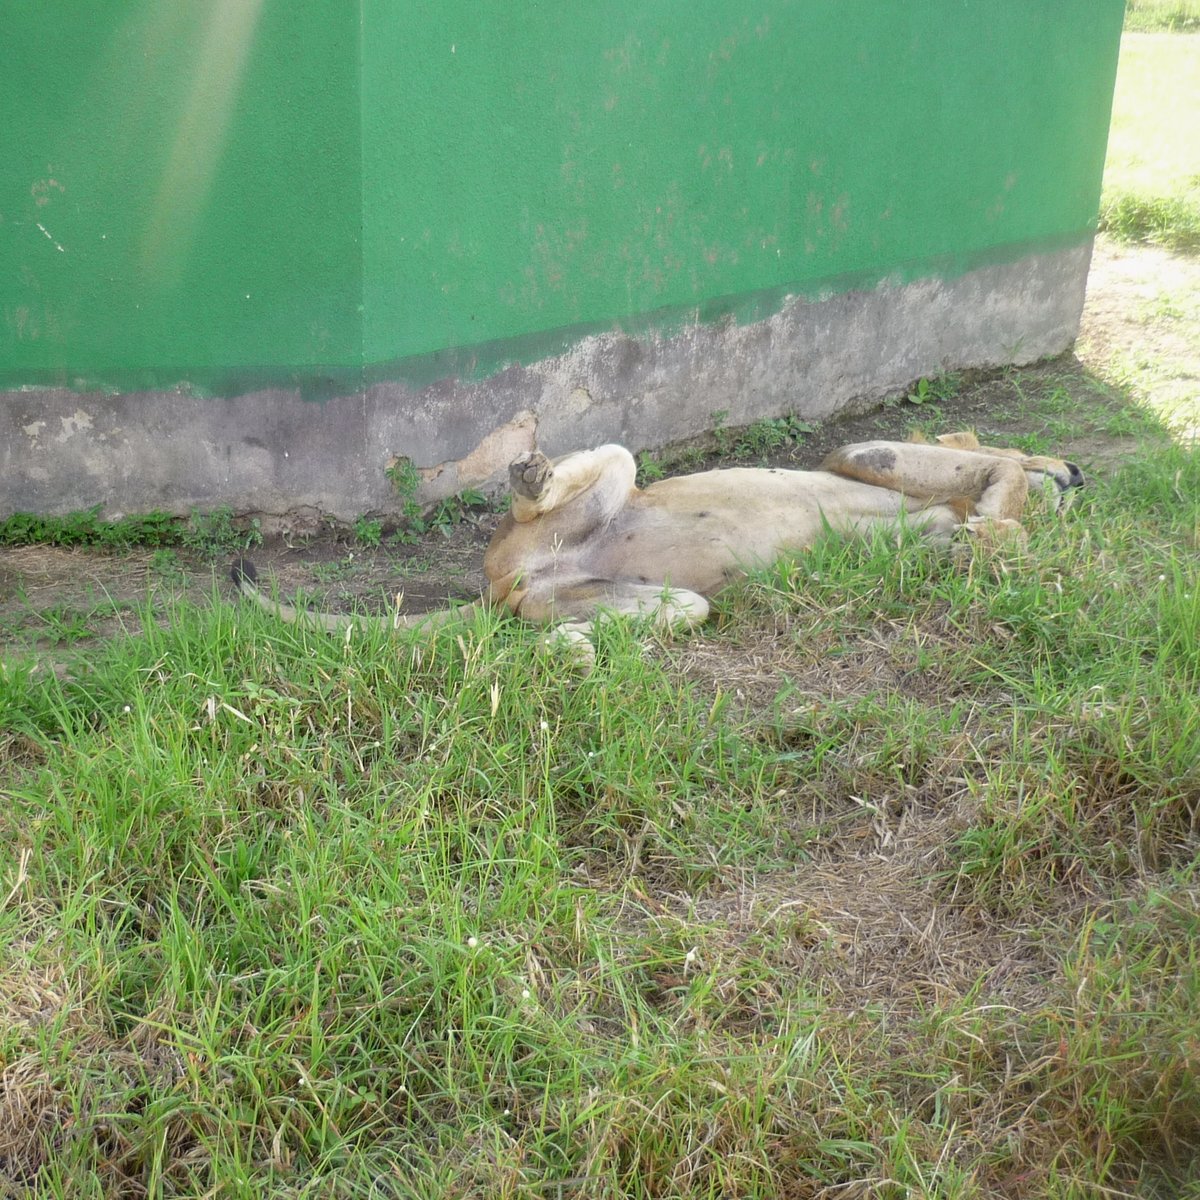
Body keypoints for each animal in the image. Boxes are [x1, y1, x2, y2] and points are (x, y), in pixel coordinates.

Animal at [231, 430, 1084, 656]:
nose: (1079, 473)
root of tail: (496, 586)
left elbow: (982, 519)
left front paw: (991, 532)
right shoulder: (864, 453)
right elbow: (1004, 470)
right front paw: (1019, 499)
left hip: (656, 600)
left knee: (558, 625)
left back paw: (570, 649)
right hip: (614, 468)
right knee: (562, 481)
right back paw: (530, 474)